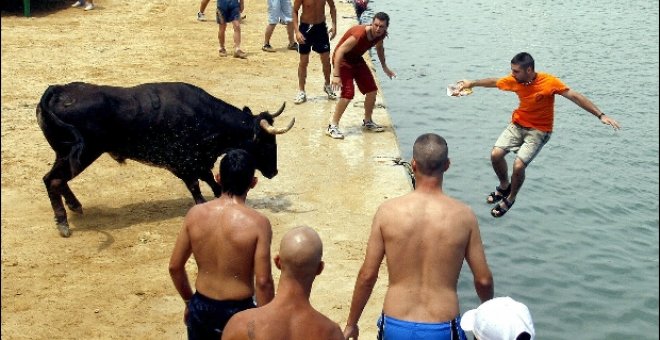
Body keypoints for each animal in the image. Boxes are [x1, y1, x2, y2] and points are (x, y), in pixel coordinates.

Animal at [36, 81, 294, 236]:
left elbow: (212, 182)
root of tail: (56, 91)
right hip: (84, 153)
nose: (274, 172)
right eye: (267, 142)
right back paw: (63, 223)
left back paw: (74, 206)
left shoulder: (198, 161)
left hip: (65, 154)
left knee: (55, 179)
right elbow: (198, 187)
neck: (206, 117)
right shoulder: (185, 163)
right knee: (53, 180)